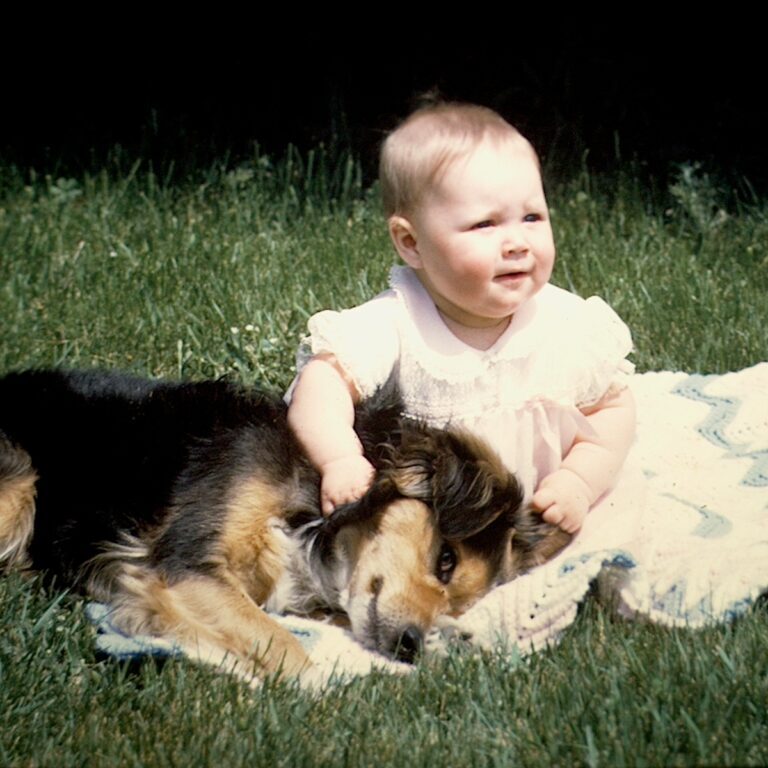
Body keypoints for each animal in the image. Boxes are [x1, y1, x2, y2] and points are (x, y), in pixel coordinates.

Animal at [0, 368, 568, 680]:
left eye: (457, 610)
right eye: (446, 560)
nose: (411, 645)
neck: (314, 512)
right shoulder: (183, 565)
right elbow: (284, 648)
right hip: (19, 483)